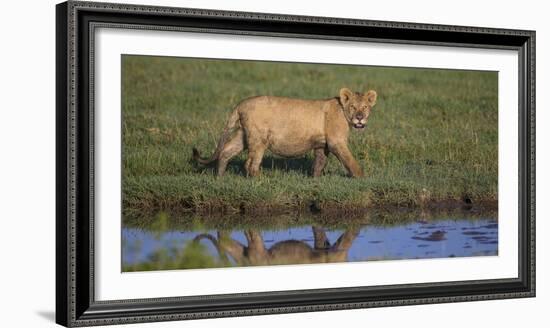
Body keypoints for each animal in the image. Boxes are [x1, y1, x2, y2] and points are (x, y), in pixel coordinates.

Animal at [192, 87, 378, 177]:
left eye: (365, 107)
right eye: (353, 107)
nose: (360, 118)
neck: (343, 112)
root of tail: (241, 104)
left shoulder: (321, 144)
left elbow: (319, 164)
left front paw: (315, 181)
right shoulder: (336, 142)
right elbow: (350, 161)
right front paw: (362, 179)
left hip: (243, 135)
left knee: (226, 151)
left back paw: (220, 177)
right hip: (259, 139)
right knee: (250, 164)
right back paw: (262, 182)